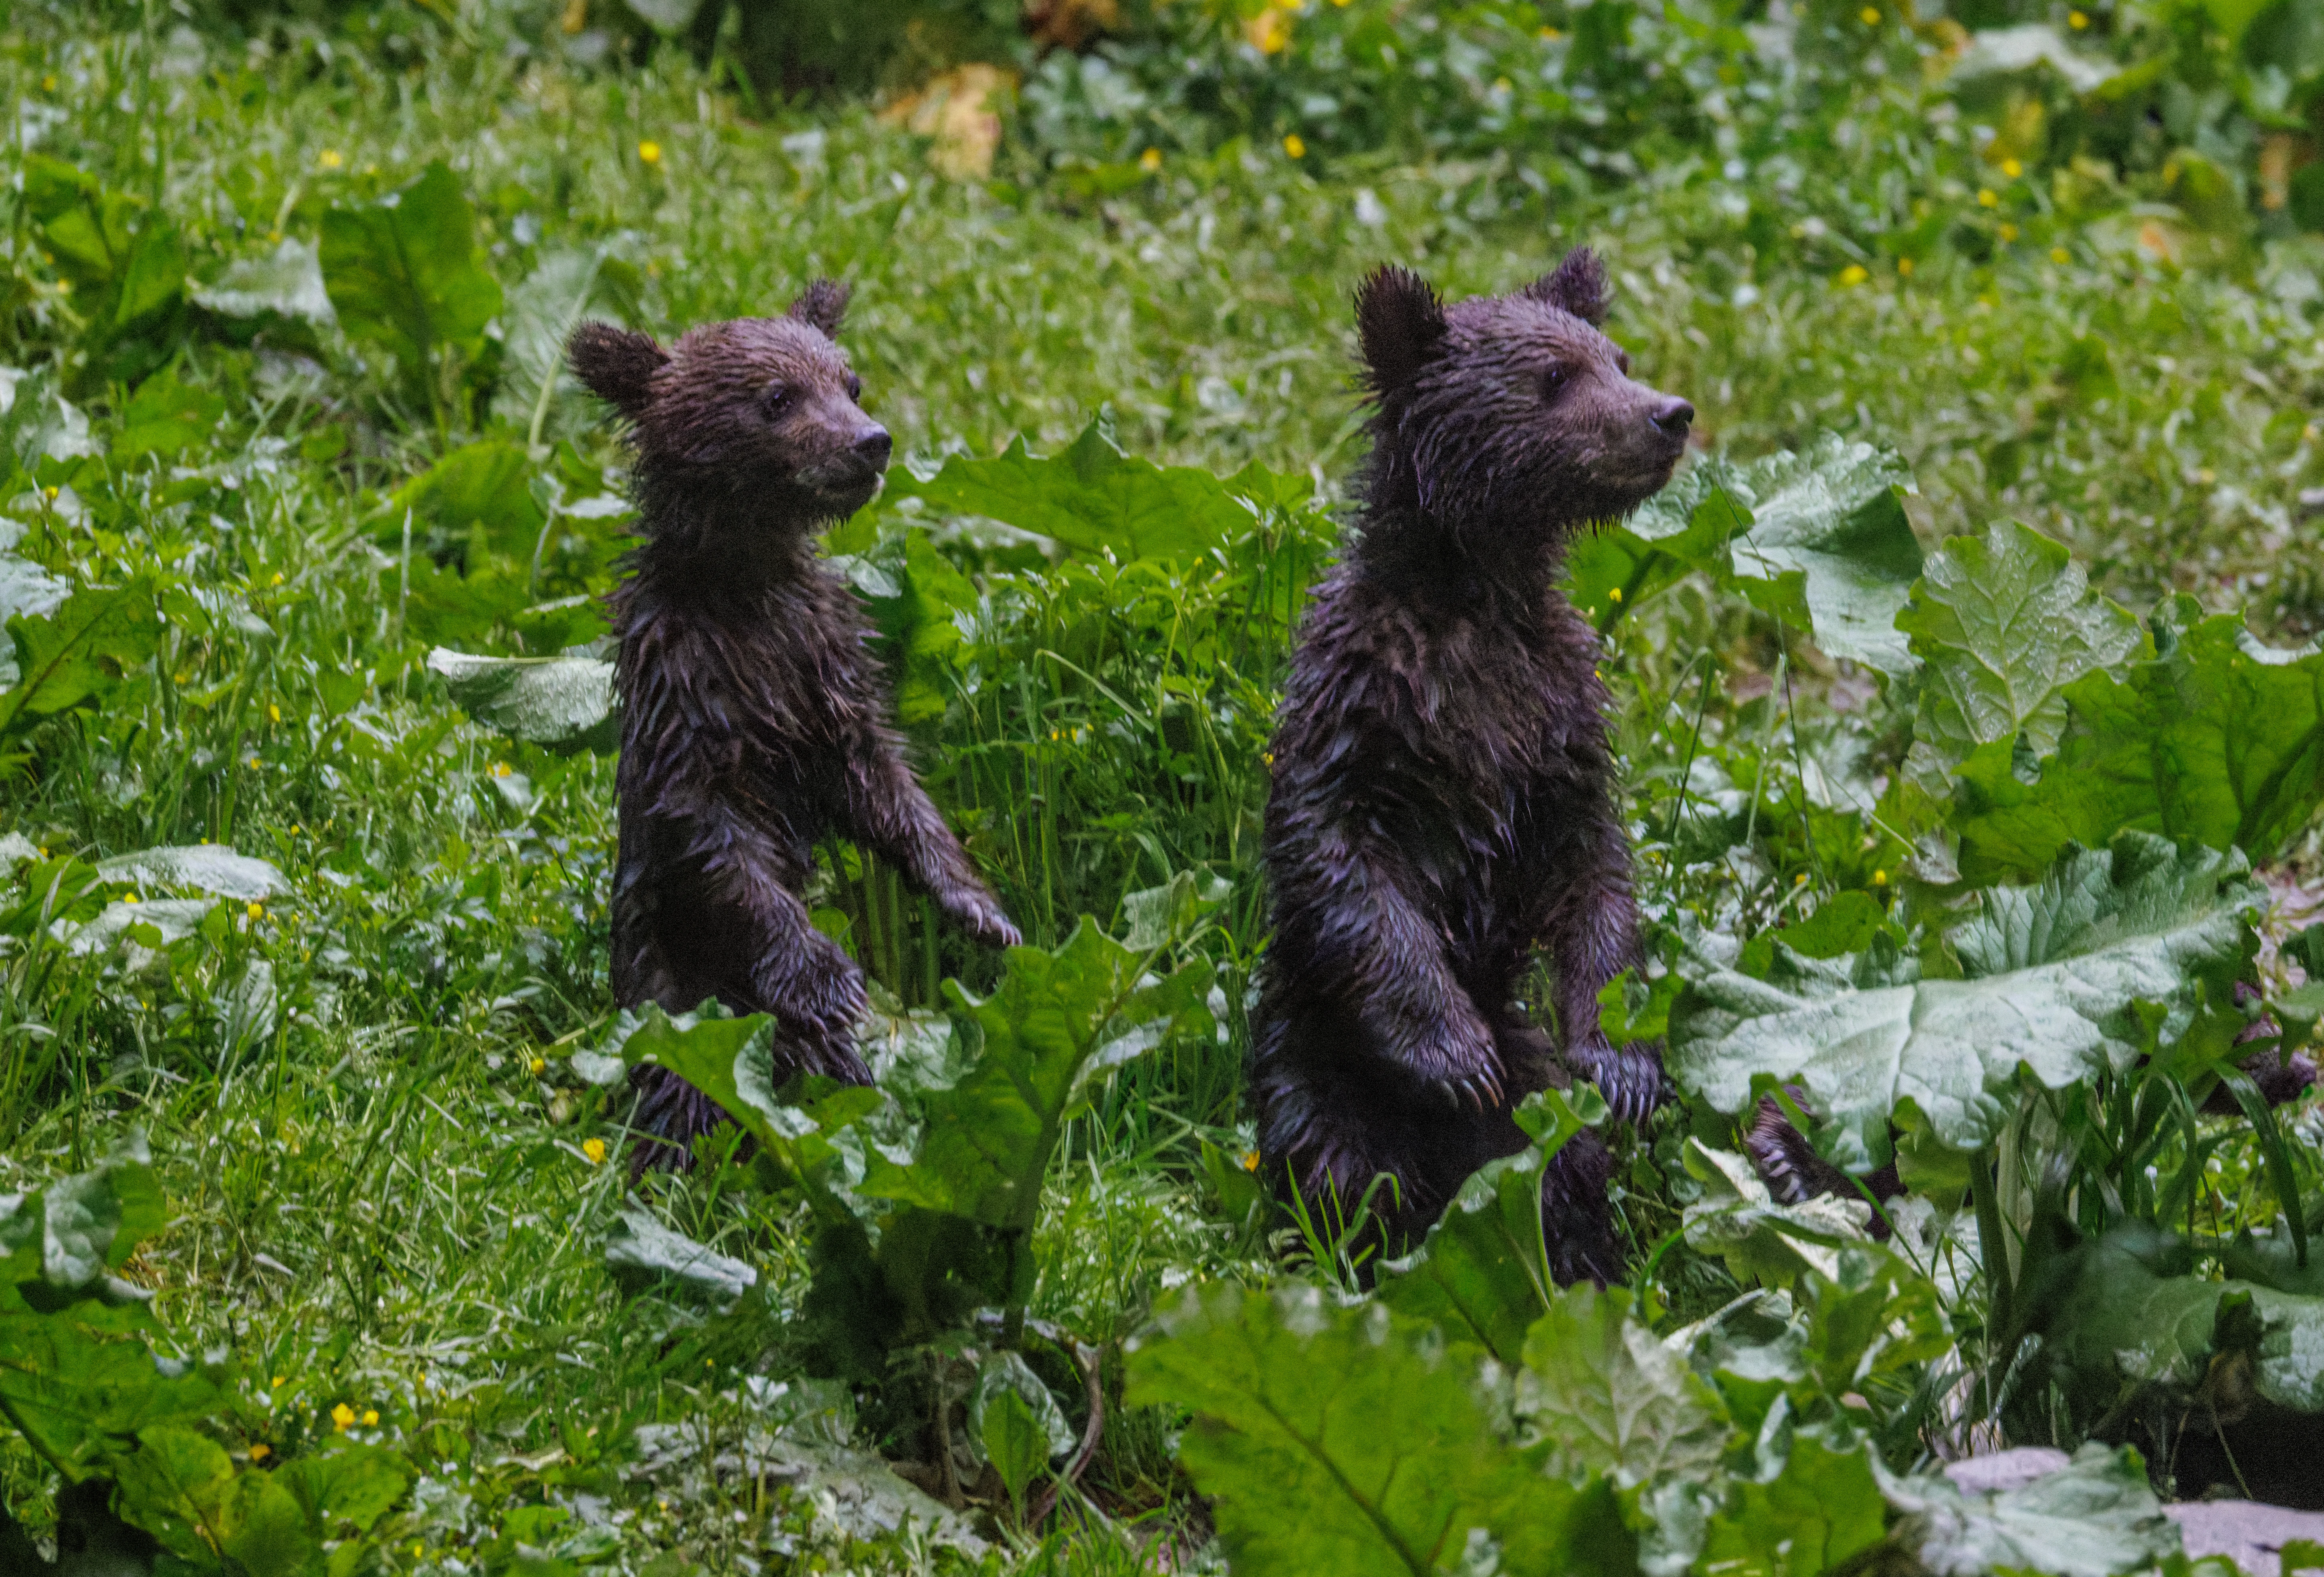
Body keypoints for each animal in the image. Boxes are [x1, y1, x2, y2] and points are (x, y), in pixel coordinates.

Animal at [568, 283, 1020, 1167]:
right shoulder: (690, 703)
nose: (871, 444)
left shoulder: (823, 674)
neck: (748, 591)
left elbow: (887, 788)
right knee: (684, 1077)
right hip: (674, 995)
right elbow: (725, 852)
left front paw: (982, 907)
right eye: (777, 398)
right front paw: (829, 978)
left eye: (850, 382)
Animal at [1250, 250, 1693, 1285]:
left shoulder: (1558, 722)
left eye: (1616, 357)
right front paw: (1454, 1055)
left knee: (1559, 1168)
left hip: (1533, 1110)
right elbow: (1343, 863)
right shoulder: (1360, 708)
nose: (1669, 413)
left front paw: (1623, 1064)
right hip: (1308, 1051)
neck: (1474, 599)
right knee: (1340, 1166)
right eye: (1555, 378)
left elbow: (1594, 876)